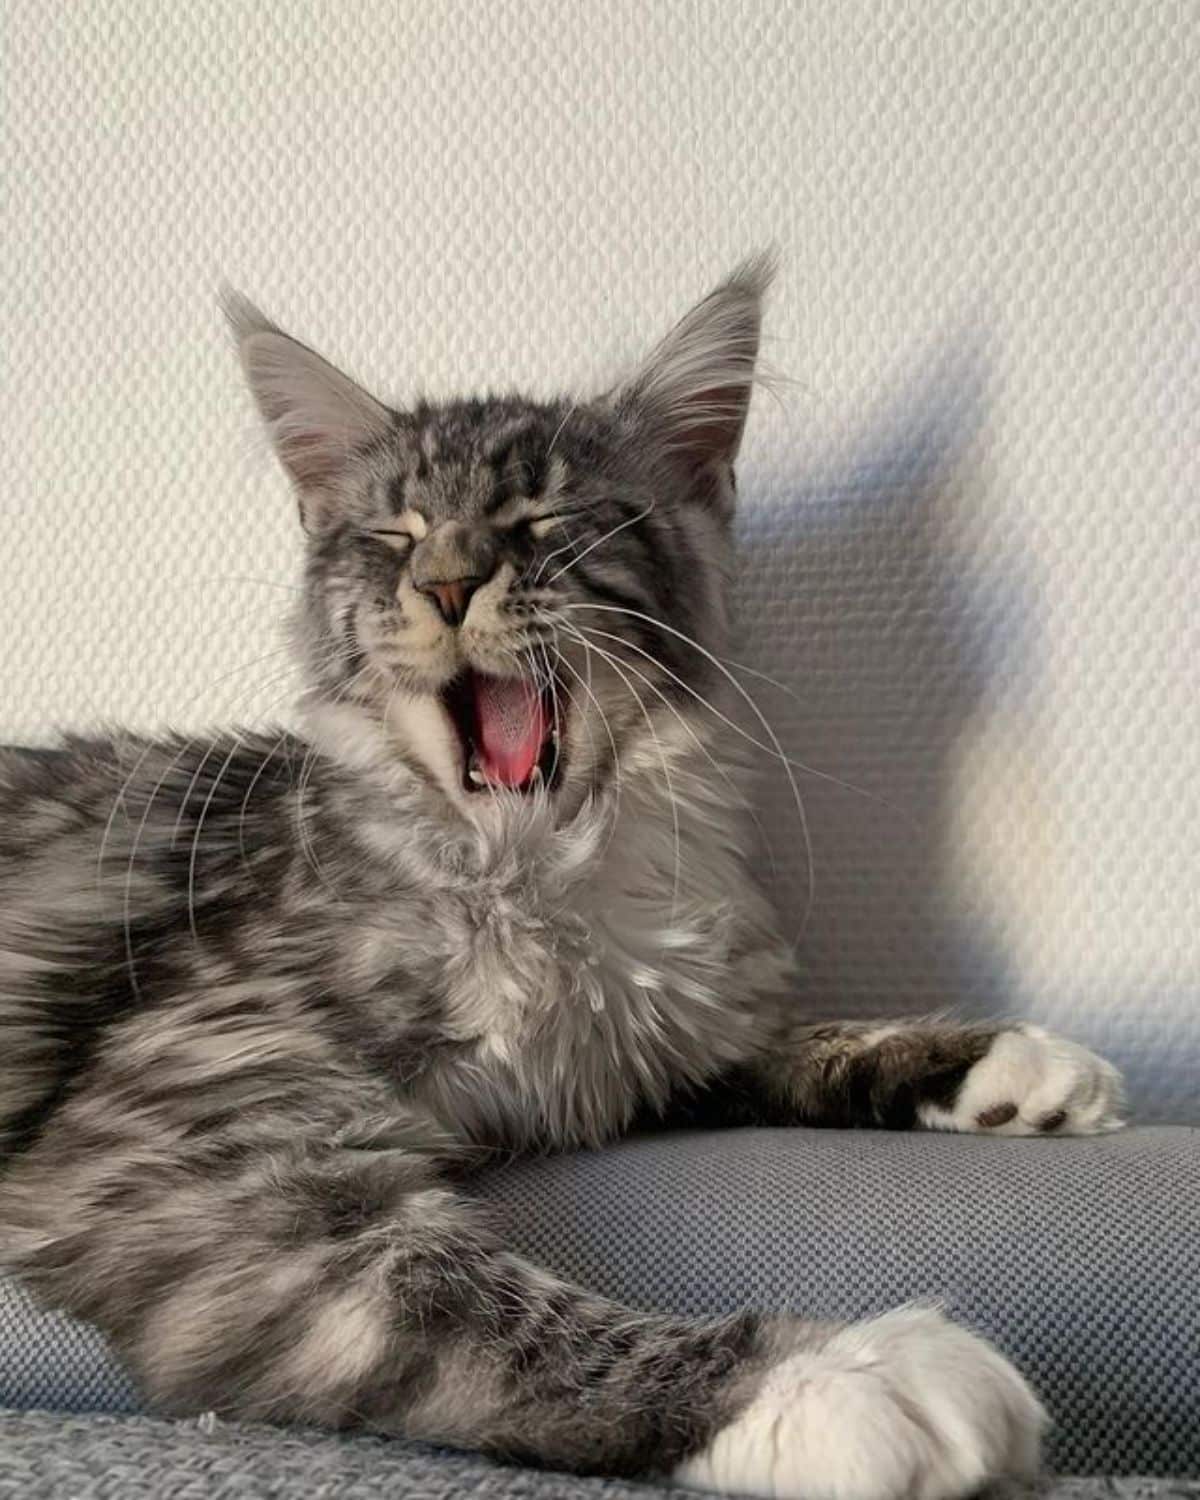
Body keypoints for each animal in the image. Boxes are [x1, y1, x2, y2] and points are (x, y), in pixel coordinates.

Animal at [0, 264, 1128, 1494]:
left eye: (539, 520)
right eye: (394, 536)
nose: (448, 583)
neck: (537, 877)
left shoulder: (643, 1050)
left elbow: (796, 1042)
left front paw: (1002, 1062)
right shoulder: (185, 1142)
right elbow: (473, 1311)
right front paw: (829, 1378)